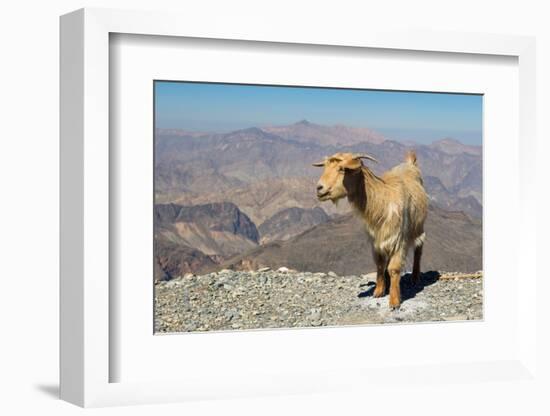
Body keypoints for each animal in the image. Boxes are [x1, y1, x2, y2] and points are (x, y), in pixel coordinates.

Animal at [314, 151, 432, 308]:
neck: (382, 201)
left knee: (419, 248)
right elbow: (380, 265)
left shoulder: (399, 239)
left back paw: (415, 277)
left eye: (342, 169)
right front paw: (379, 291)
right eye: (325, 167)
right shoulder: (375, 240)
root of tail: (410, 164)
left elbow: (394, 268)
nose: (319, 188)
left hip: (419, 227)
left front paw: (394, 301)